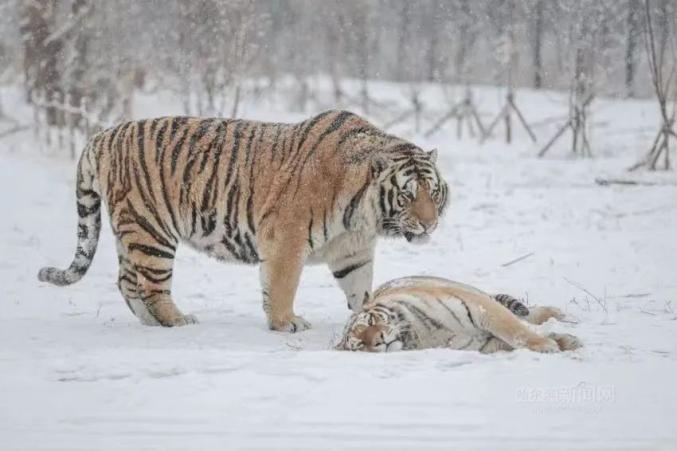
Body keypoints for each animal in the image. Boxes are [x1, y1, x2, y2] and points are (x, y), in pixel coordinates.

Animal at [37, 110, 448, 332]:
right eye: (408, 196)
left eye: (434, 193)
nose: (429, 226)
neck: (363, 214)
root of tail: (105, 134)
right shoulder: (286, 238)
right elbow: (282, 285)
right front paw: (286, 323)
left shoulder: (353, 251)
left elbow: (361, 289)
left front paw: (372, 317)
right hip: (151, 230)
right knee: (150, 286)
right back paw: (177, 321)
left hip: (132, 233)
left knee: (126, 282)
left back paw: (153, 323)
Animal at [336, 278, 580, 354]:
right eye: (360, 344)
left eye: (371, 321)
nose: (378, 340)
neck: (418, 334)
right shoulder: (478, 345)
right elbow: (508, 343)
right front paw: (557, 342)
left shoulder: (481, 308)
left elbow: (515, 331)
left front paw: (545, 345)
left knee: (525, 315)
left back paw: (556, 314)